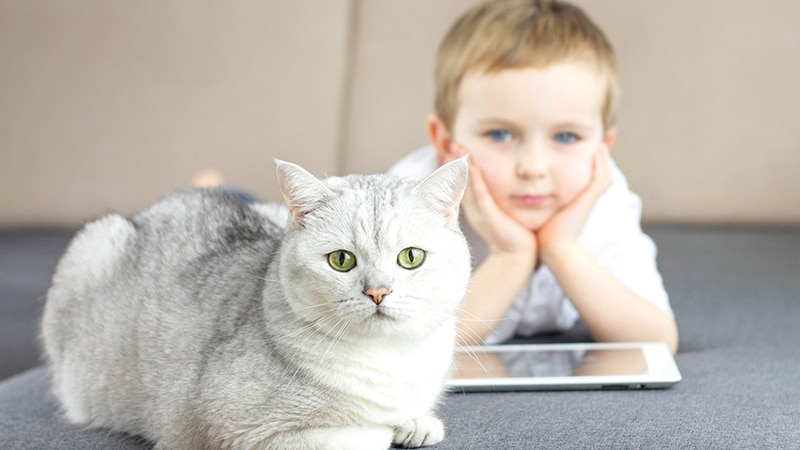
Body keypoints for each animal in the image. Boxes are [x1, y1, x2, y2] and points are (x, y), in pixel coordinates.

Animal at [40, 158, 472, 450]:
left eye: (411, 257)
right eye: (341, 260)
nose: (378, 292)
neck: (392, 360)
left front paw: (416, 422)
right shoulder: (243, 434)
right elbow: (364, 435)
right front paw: (387, 426)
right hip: (92, 245)